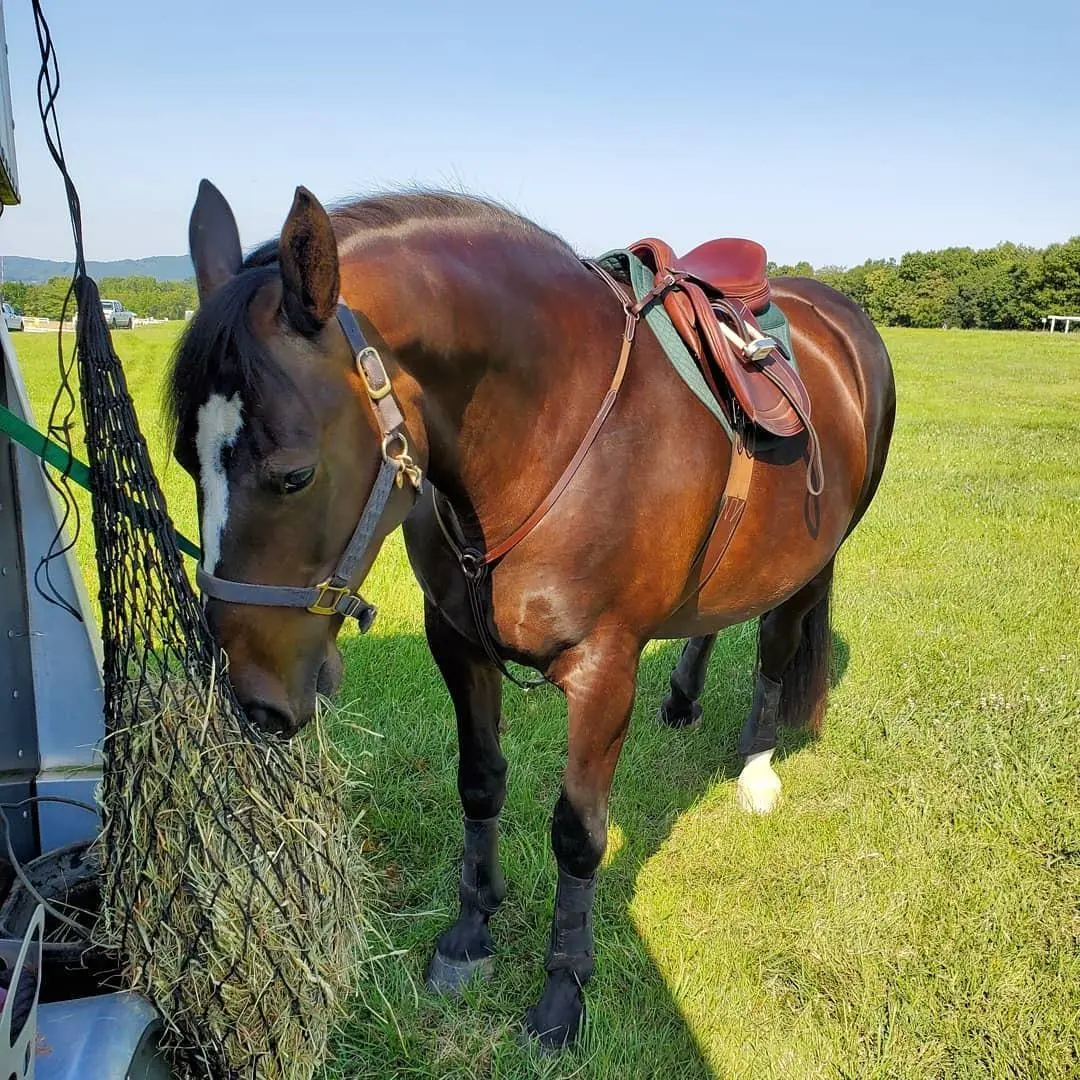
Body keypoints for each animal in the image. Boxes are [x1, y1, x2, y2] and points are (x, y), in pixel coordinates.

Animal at [169, 179, 895, 1049]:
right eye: (183, 459)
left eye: (293, 474)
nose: (252, 699)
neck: (549, 433)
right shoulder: (456, 641)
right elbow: (480, 784)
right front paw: (469, 932)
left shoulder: (603, 670)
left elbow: (579, 834)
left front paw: (562, 990)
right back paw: (685, 699)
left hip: (812, 560)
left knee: (777, 642)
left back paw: (755, 767)